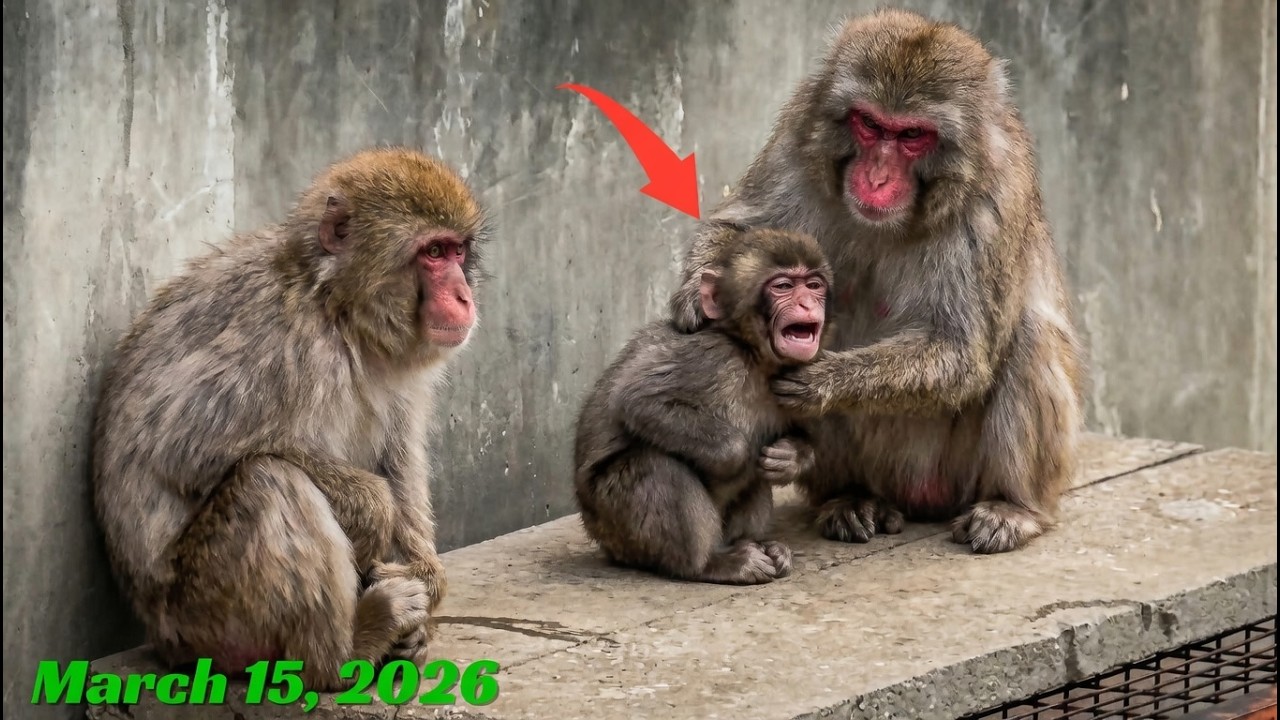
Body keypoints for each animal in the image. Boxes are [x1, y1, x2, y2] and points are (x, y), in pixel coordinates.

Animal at [91, 147, 490, 690]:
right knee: (269, 480)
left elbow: (398, 454)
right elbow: (180, 449)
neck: (337, 307)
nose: (464, 296)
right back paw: (346, 653)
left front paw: (426, 582)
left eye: (457, 251)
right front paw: (373, 513)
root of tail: (164, 641)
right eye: (432, 253)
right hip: (203, 614)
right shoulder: (282, 341)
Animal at [574, 229, 832, 584]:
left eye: (813, 285)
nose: (807, 303)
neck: (753, 354)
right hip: (616, 523)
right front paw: (735, 457)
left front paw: (789, 457)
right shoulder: (712, 357)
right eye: (783, 286)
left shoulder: (799, 376)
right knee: (656, 464)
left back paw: (758, 546)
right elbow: (637, 398)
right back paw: (710, 564)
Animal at [667, 9, 1086, 554]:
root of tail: (917, 497)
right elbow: (742, 229)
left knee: (1030, 336)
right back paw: (848, 497)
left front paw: (821, 381)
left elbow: (961, 351)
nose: (877, 178)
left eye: (911, 136)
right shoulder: (798, 142)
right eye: (868, 124)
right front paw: (695, 294)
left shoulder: (995, 198)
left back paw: (1014, 507)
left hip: (956, 473)